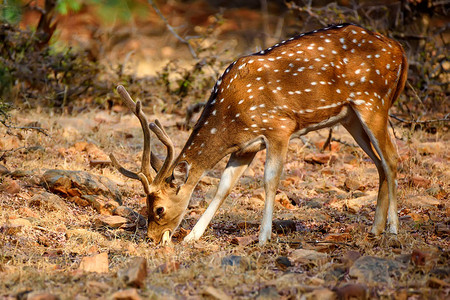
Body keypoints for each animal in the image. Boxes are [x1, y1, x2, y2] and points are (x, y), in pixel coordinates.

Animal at [110, 22, 408, 244]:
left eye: (158, 209)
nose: (151, 238)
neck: (231, 116)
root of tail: (400, 49)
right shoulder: (245, 147)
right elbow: (223, 187)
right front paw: (192, 237)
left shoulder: (279, 127)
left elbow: (270, 180)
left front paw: (264, 236)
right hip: (351, 117)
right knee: (379, 162)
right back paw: (375, 228)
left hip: (373, 102)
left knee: (392, 158)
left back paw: (393, 230)